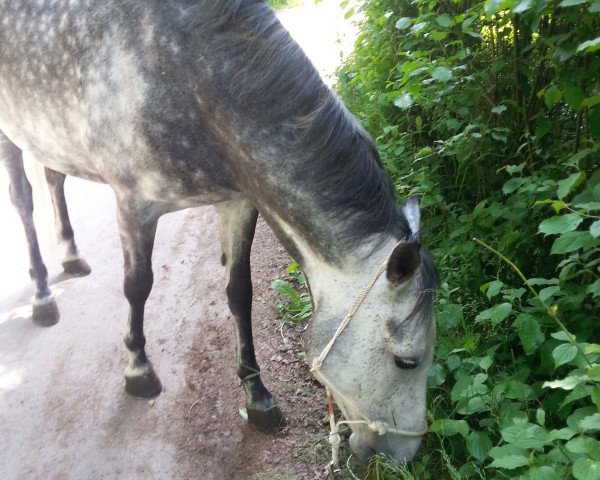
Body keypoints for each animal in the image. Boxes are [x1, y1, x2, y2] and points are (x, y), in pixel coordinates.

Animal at [2, 0, 438, 464]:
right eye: (407, 362)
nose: (404, 454)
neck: (187, 68)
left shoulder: (236, 202)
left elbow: (239, 293)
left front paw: (257, 395)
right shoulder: (134, 205)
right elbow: (138, 286)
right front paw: (139, 371)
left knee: (53, 178)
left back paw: (71, 256)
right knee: (24, 201)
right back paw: (43, 297)